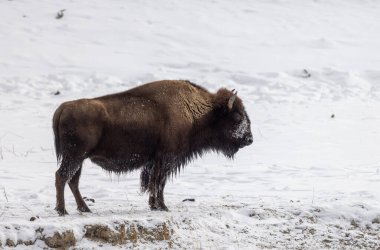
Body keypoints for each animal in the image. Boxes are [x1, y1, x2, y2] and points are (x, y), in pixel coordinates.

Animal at [52, 80, 251, 215]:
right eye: (236, 117)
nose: (249, 139)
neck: (195, 110)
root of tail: (63, 108)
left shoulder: (155, 160)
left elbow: (154, 182)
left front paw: (154, 205)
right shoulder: (167, 158)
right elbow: (159, 182)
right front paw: (162, 206)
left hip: (79, 159)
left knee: (72, 181)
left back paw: (84, 208)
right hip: (75, 156)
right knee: (62, 176)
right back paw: (63, 210)